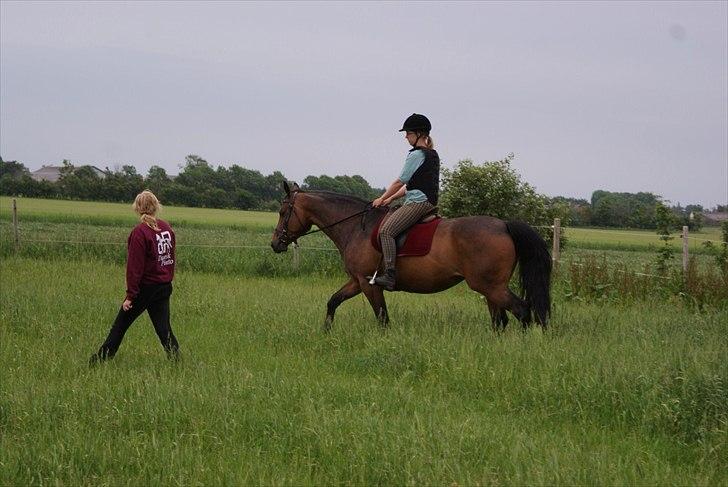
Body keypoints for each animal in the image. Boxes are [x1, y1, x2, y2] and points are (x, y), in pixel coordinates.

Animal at [268, 181, 552, 334]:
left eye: (283, 212)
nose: (275, 244)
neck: (356, 227)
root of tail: (504, 225)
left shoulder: (368, 284)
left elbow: (382, 318)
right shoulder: (358, 281)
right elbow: (333, 301)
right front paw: (326, 332)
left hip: (490, 286)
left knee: (521, 311)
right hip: (490, 288)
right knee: (500, 320)